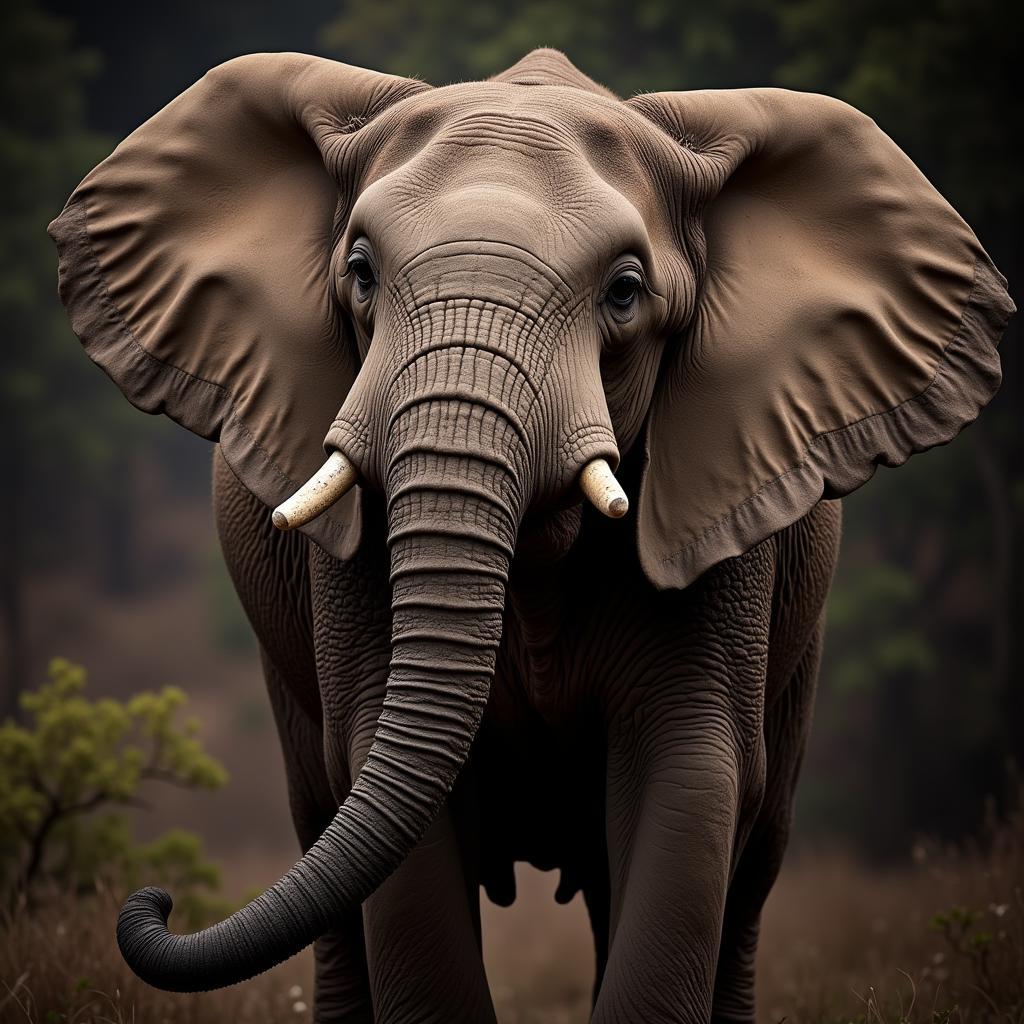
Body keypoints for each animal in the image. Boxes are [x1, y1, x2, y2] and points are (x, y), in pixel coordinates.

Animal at [48, 49, 1007, 1024]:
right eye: (360, 272)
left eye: (624, 293)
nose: (155, 901)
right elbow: (388, 798)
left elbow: (691, 777)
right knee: (323, 824)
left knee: (750, 865)